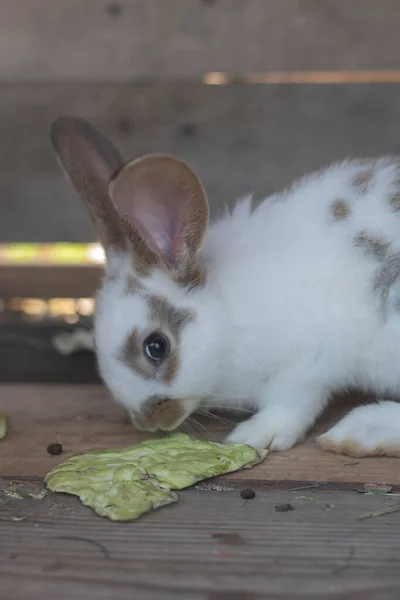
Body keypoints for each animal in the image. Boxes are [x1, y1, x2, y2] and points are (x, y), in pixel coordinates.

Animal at [50, 115, 400, 458]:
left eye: (156, 346)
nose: (151, 422)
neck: (227, 315)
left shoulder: (309, 364)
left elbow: (292, 404)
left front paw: (257, 435)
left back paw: (360, 432)